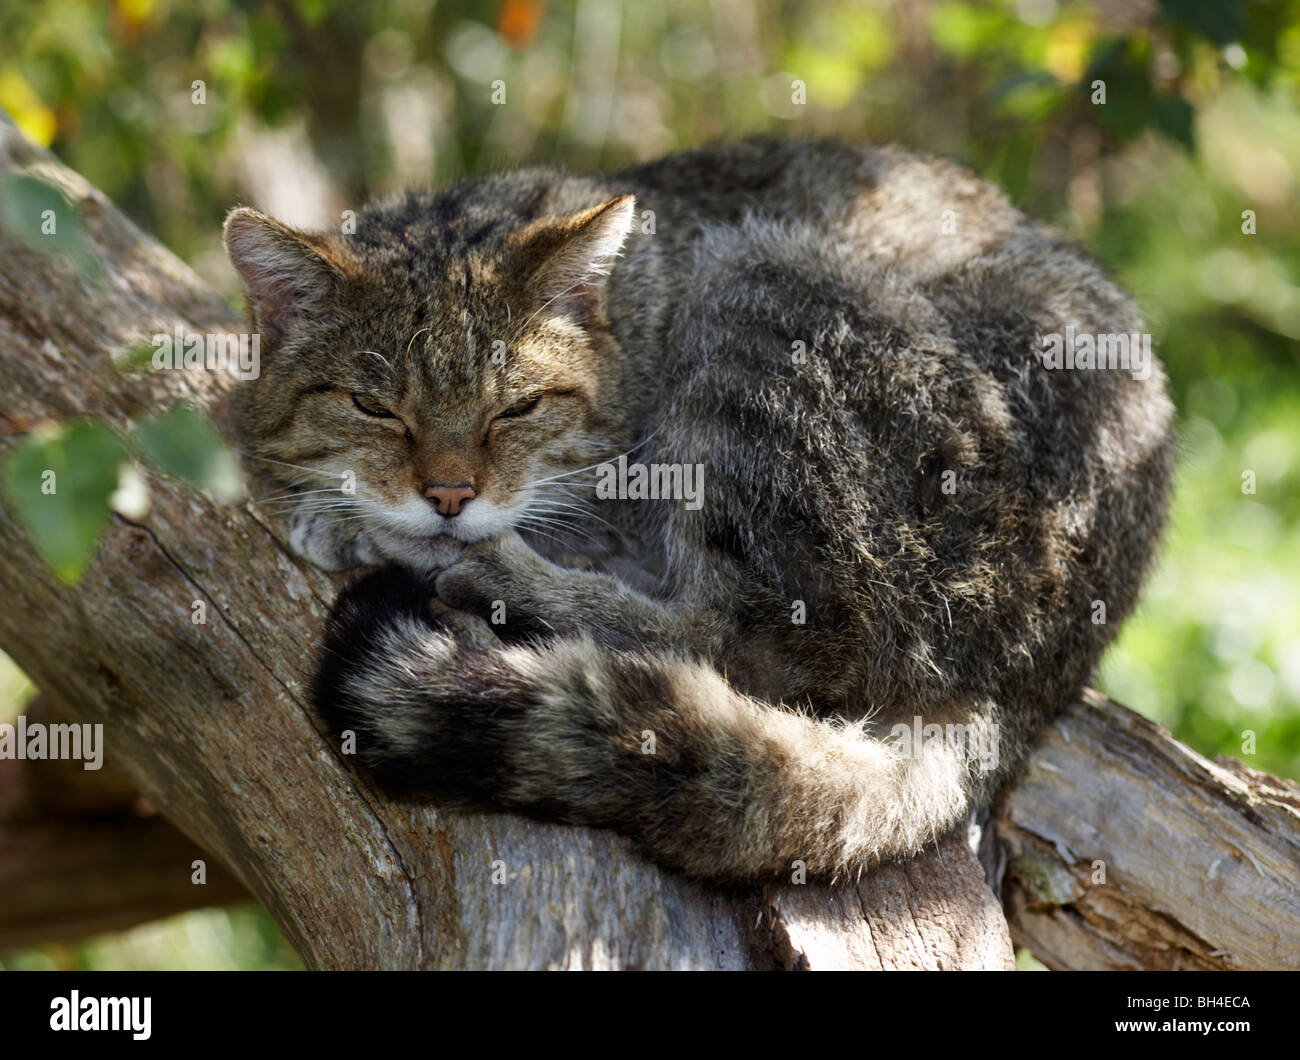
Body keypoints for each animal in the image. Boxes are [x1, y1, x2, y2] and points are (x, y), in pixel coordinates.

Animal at [226, 141, 1180, 889]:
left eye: (517, 407)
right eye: (373, 407)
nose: (450, 496)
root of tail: (1028, 684)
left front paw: (373, 526)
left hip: (762, 281)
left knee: (738, 639)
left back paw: (504, 575)